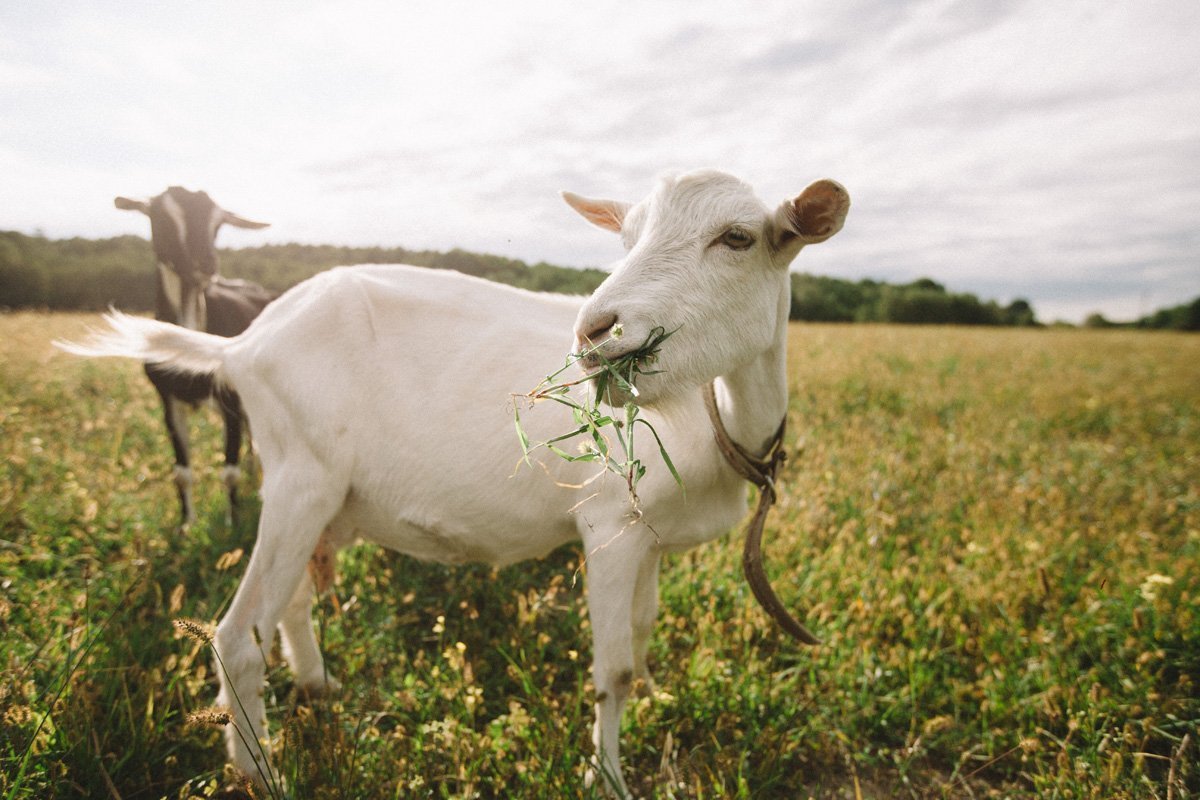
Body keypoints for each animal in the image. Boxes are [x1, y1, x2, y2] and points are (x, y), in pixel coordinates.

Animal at [63, 170, 844, 796]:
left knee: (289, 606)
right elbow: (611, 670)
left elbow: (644, 630)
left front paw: (657, 699)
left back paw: (318, 686)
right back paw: (263, 773)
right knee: (236, 634)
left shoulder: (647, 535)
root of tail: (243, 345)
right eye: (624, 239)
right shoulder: (608, 527)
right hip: (299, 474)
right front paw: (611, 777)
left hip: (311, 489)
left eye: (738, 238)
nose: (595, 332)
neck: (718, 418)